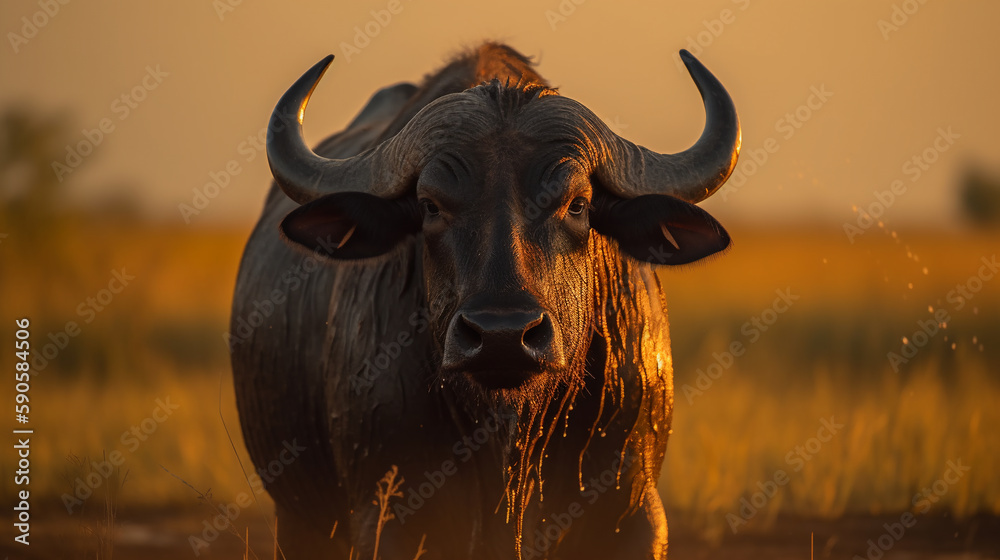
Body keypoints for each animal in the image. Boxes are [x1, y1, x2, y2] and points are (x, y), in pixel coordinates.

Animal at [231, 42, 740, 559]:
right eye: (430, 206)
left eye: (577, 203)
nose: (503, 336)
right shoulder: (390, 517)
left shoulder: (633, 510)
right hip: (298, 522)